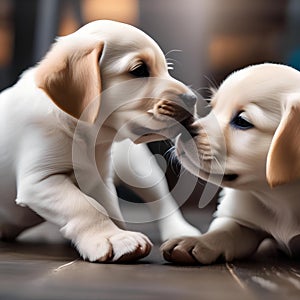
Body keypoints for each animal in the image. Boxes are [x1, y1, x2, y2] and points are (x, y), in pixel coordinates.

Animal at [0, 19, 202, 262]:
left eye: (167, 69)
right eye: (139, 70)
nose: (192, 100)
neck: (90, 136)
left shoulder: (97, 180)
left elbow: (105, 206)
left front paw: (115, 234)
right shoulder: (40, 179)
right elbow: (85, 207)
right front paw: (114, 237)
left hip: (137, 169)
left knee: (161, 200)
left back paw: (180, 231)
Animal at [162, 62, 300, 262]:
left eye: (242, 121)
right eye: (212, 107)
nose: (184, 128)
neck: (281, 199)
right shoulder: (242, 218)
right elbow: (226, 230)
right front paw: (195, 241)